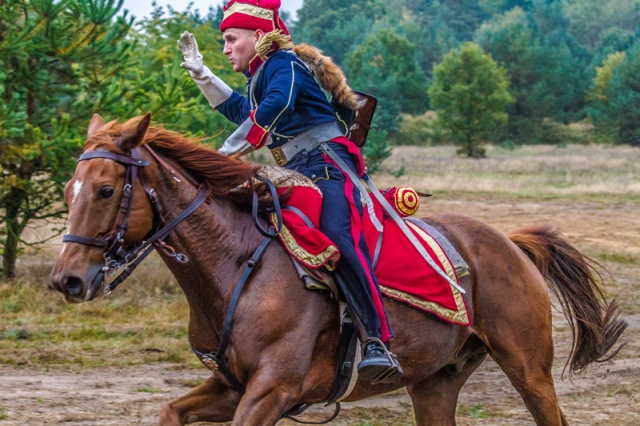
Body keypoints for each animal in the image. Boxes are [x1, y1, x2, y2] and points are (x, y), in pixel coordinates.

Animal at [48, 115, 624, 424]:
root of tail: (510, 243)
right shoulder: (230, 389)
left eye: (105, 190)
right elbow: (171, 410)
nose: (67, 279)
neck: (237, 266)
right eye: (68, 191)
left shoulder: (270, 394)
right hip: (434, 384)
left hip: (529, 371)